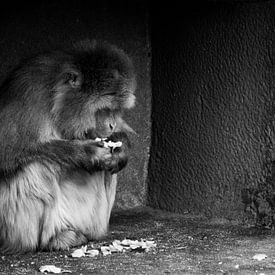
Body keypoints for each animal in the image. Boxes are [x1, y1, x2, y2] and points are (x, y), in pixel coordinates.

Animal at [0, 39, 136, 254]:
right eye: (105, 109)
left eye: (117, 110)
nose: (112, 124)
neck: (56, 101)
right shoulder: (28, 91)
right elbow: (7, 150)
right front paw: (86, 152)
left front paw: (120, 152)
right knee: (35, 165)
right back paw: (53, 239)